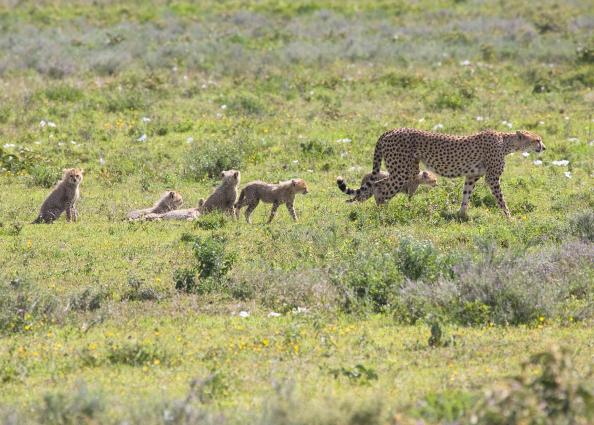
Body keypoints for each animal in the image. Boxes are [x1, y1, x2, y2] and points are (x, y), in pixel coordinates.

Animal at [336, 127, 544, 217]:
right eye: (537, 140)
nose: (544, 147)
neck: (506, 142)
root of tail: (391, 130)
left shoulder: (472, 176)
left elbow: (466, 195)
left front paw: (461, 215)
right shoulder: (492, 179)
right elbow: (501, 199)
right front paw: (510, 218)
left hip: (408, 168)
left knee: (376, 186)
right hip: (404, 170)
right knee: (380, 186)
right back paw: (382, 214)